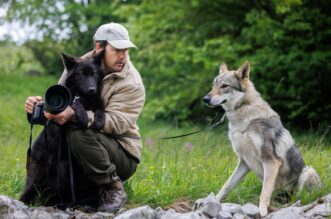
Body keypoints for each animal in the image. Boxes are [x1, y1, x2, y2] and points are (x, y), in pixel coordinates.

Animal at [19, 50, 107, 209]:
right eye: (81, 74)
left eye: (94, 74)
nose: (92, 89)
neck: (84, 97)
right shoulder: (71, 104)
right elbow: (74, 104)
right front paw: (83, 115)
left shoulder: (96, 102)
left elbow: (100, 109)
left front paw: (99, 120)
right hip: (37, 174)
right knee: (26, 192)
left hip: (67, 173)